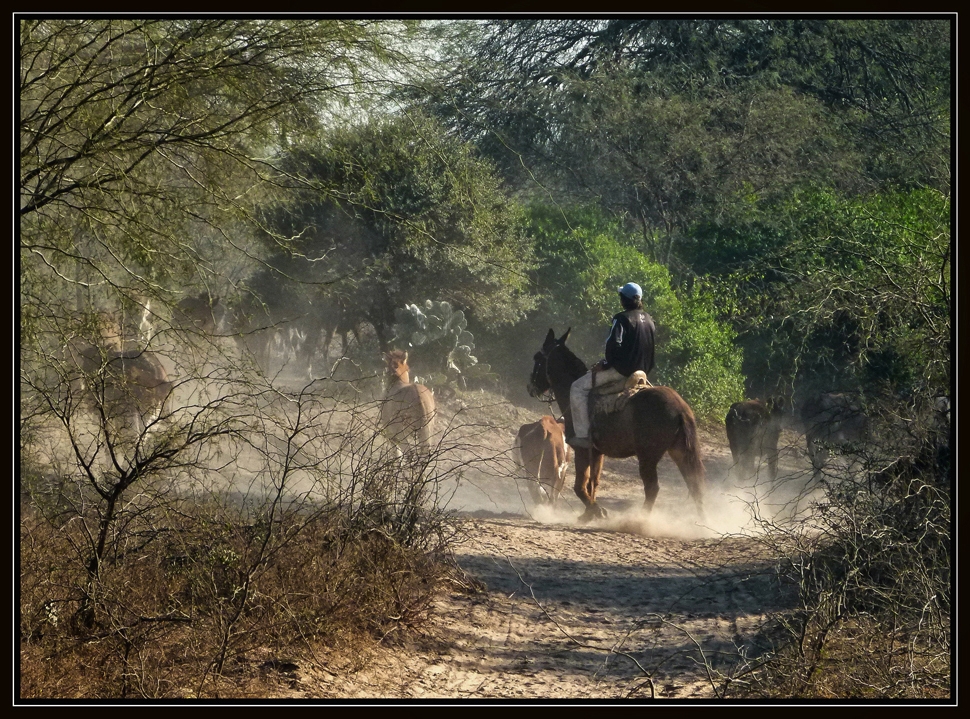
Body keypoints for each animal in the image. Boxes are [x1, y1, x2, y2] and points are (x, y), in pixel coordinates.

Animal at [528, 328, 704, 524]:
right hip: (680, 451)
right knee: (694, 483)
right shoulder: (597, 453)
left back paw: (639, 520)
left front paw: (597, 511)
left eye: (537, 358)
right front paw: (588, 514)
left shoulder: (582, 450)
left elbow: (579, 486)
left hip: (648, 457)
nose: (530, 387)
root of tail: (679, 408)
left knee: (653, 488)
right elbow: (593, 483)